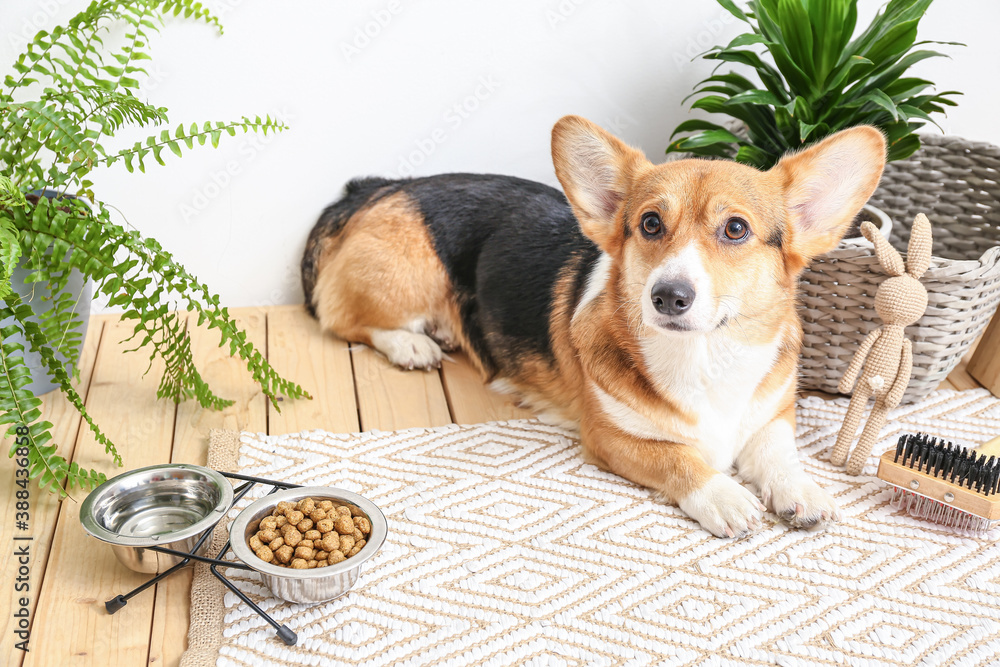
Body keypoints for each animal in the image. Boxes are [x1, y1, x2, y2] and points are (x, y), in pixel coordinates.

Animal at [300, 116, 888, 536]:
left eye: (736, 229)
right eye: (650, 223)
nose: (668, 296)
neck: (703, 358)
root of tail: (377, 186)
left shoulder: (775, 414)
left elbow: (778, 454)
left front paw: (803, 492)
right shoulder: (611, 437)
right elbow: (679, 459)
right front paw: (724, 495)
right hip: (402, 282)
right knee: (345, 319)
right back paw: (412, 344)